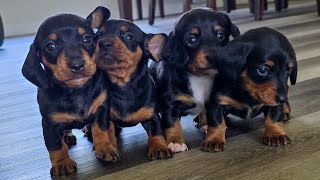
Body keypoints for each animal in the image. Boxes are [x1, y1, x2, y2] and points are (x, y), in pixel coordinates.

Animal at [20, 7, 117, 176]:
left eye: (87, 39)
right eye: (50, 46)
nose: (77, 65)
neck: (75, 90)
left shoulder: (102, 108)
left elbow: (101, 129)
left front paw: (105, 148)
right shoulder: (50, 123)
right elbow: (56, 146)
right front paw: (62, 163)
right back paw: (68, 136)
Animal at [87, 8, 172, 160]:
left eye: (128, 36)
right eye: (97, 36)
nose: (103, 43)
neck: (123, 85)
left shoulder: (152, 115)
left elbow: (156, 132)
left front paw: (159, 147)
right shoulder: (107, 117)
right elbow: (107, 132)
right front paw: (108, 148)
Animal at [150, 7, 240, 153]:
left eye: (221, 35)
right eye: (191, 39)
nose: (214, 57)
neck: (200, 77)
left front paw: (208, 126)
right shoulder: (170, 101)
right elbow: (172, 123)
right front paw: (175, 142)